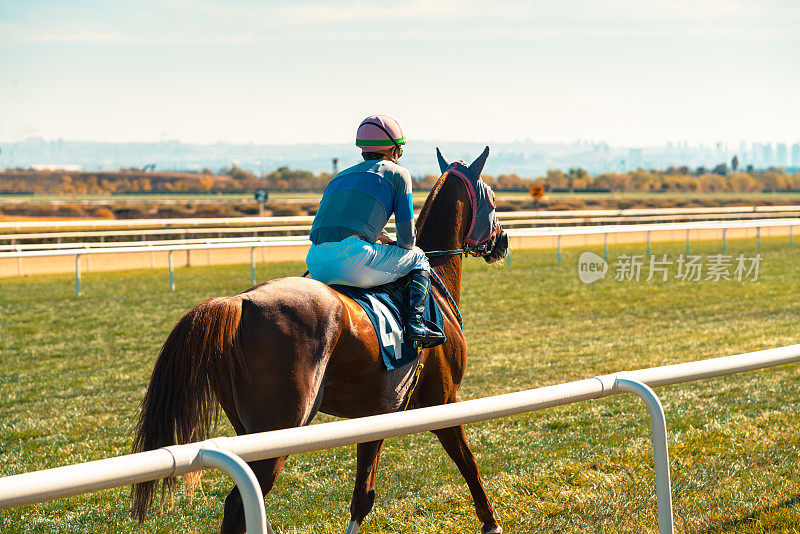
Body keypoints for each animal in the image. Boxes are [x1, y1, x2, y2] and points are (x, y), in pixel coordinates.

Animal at [130, 149, 506, 534]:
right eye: (492, 199)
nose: (503, 240)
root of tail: (239, 301)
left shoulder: (379, 411)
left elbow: (363, 494)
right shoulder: (442, 399)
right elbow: (469, 464)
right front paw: (491, 523)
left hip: (249, 428)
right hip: (280, 424)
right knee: (237, 504)